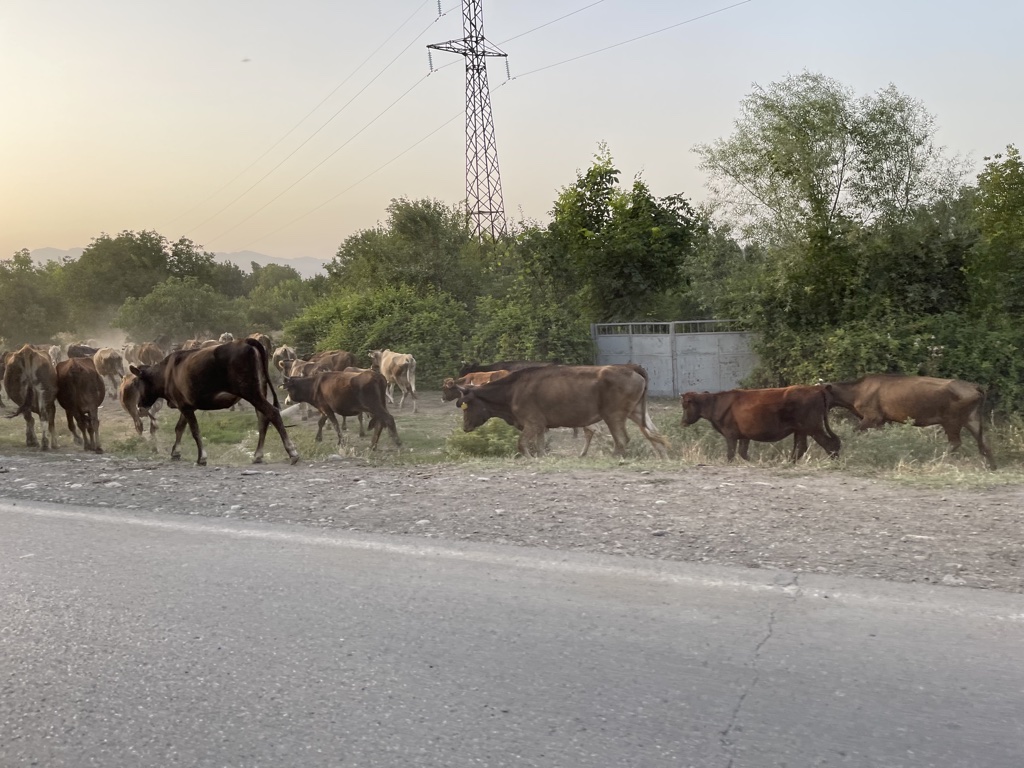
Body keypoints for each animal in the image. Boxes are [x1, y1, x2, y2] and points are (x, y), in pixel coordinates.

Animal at [125, 337, 299, 468]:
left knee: (272, 413)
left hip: (251, 392)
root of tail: (245, 341)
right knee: (263, 419)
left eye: (137, 383)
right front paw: (175, 452)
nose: (139, 407)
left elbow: (194, 431)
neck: (167, 372)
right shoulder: (186, 405)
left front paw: (201, 457)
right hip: (260, 391)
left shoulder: (185, 406)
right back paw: (258, 455)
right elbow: (179, 428)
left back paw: (292, 452)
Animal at [452, 364, 667, 460]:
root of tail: (629, 367)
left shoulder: (532, 422)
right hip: (636, 411)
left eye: (466, 405)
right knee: (654, 434)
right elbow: (539, 446)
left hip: (613, 415)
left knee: (622, 440)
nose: (465, 427)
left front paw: (531, 459)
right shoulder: (540, 425)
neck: (512, 390)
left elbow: (522, 444)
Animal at [679, 385, 839, 462]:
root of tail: (816, 389)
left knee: (829, 443)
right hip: (800, 430)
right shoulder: (744, 436)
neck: (715, 403)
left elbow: (731, 454)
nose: (683, 422)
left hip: (813, 427)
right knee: (800, 448)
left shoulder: (730, 434)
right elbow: (742, 453)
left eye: (685, 405)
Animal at [819, 374, 995, 468]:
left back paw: (937, 460)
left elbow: (854, 433)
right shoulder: (883, 421)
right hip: (972, 419)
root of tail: (974, 386)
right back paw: (992, 467)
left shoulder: (872, 417)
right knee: (984, 443)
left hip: (951, 420)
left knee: (955, 442)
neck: (855, 394)